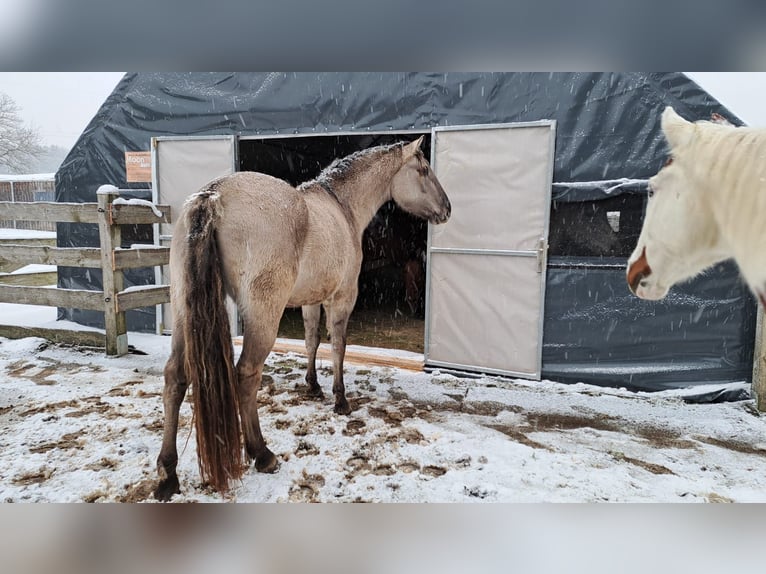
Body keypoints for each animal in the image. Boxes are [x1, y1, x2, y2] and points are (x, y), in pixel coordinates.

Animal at [158, 137, 456, 502]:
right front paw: (340, 399)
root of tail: (212, 195)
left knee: (175, 377)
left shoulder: (311, 302)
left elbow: (312, 340)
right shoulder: (342, 298)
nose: (447, 208)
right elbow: (339, 346)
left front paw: (312, 385)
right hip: (263, 315)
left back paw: (167, 472)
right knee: (246, 375)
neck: (341, 207)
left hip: (184, 311)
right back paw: (262, 453)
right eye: (423, 169)